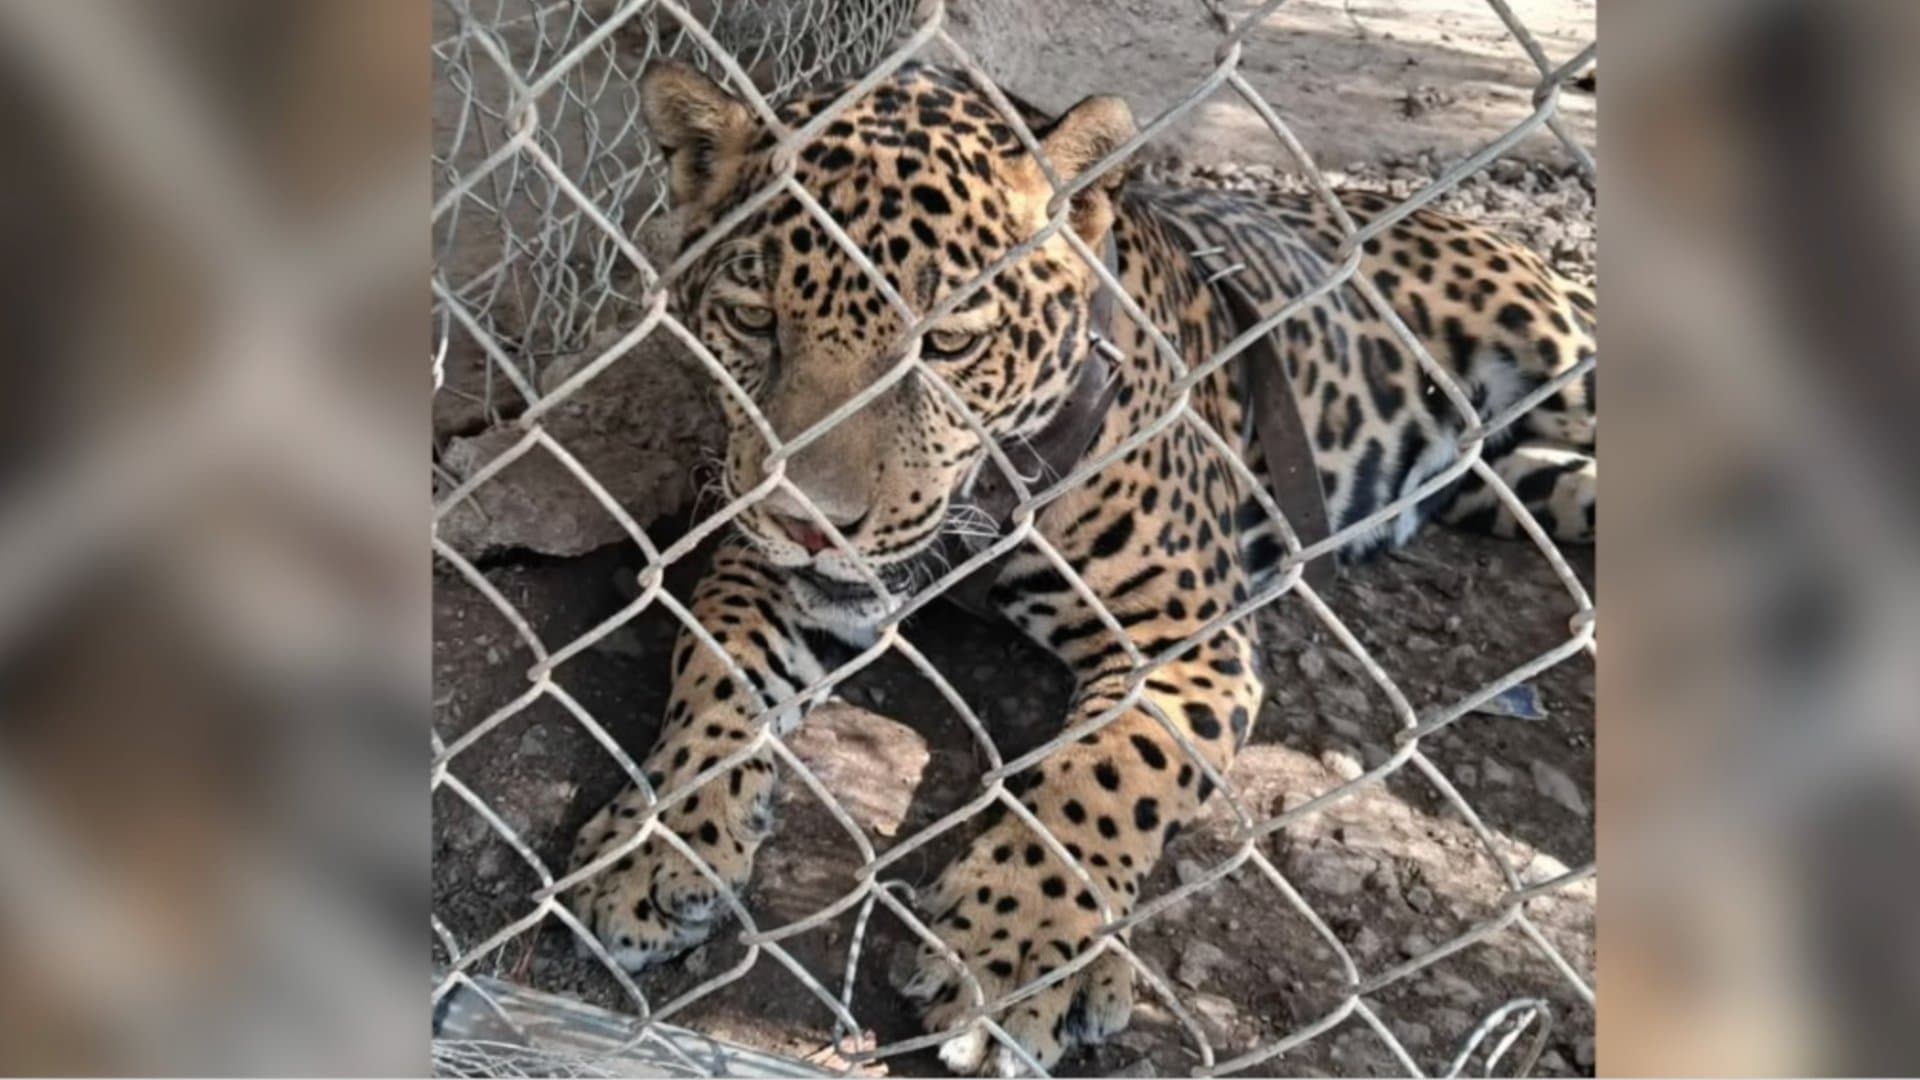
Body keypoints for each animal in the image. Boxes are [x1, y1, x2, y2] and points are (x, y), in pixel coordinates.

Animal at [564, 59, 1595, 1075]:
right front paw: (652, 845)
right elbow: (712, 679)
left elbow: (1103, 775)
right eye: (752, 320)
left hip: (1561, 356)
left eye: (949, 343)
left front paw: (1013, 950)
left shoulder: (1181, 639)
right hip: (1523, 481)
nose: (813, 523)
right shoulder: (757, 563)